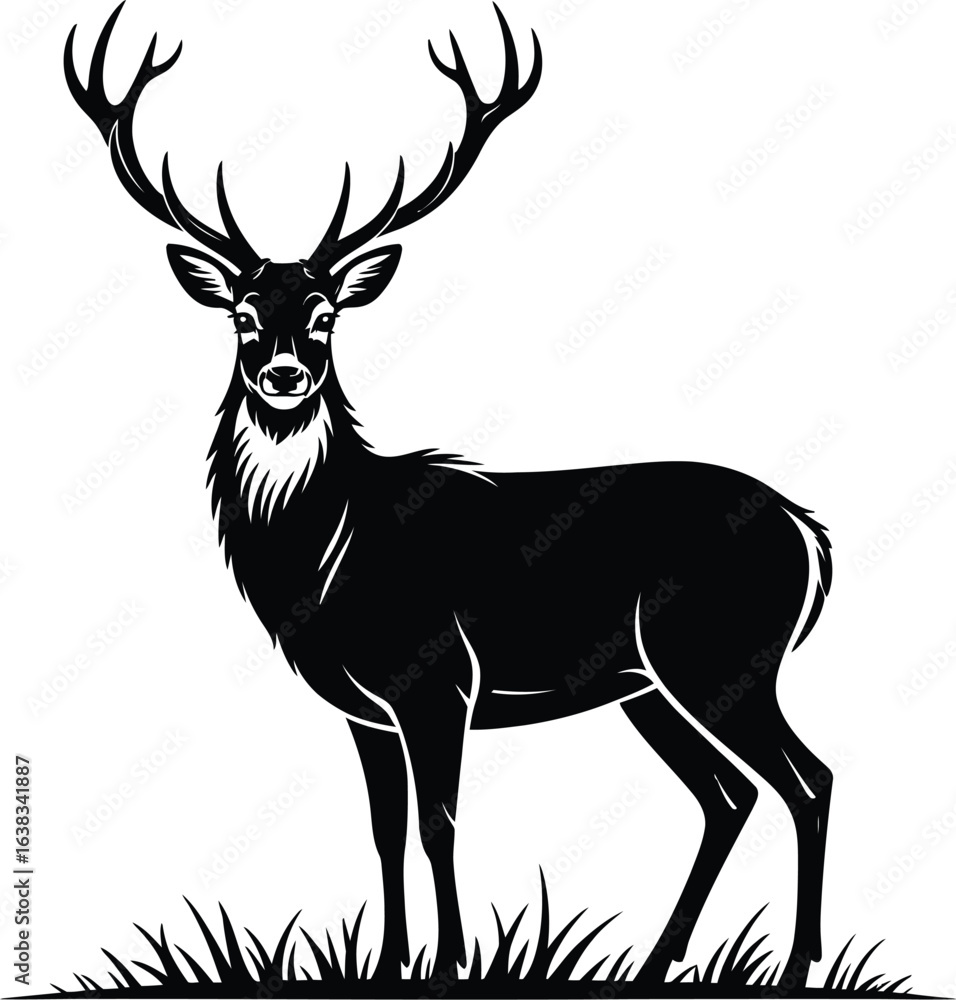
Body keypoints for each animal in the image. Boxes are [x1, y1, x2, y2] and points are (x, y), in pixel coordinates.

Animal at [65, 2, 834, 987]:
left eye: (325, 317)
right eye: (243, 316)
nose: (283, 375)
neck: (328, 562)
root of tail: (808, 533)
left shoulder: (439, 681)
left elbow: (438, 827)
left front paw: (453, 963)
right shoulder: (364, 708)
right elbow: (384, 831)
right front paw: (392, 961)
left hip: (721, 652)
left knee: (804, 779)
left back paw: (799, 961)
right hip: (650, 682)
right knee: (730, 794)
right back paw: (664, 959)